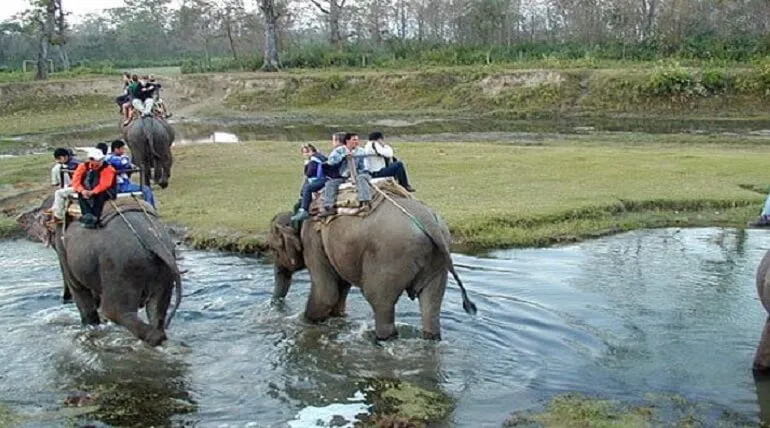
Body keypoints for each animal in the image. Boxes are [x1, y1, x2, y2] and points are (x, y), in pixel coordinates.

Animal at [15, 196, 184, 346]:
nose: (64, 300)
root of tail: (152, 240)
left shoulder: (63, 246)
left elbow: (79, 290)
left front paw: (90, 326)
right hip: (162, 272)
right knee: (157, 310)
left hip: (119, 269)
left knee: (114, 310)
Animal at [268, 191, 474, 342]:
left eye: (274, 249)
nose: (275, 306)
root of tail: (431, 223)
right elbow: (341, 289)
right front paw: (337, 319)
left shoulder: (312, 240)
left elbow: (326, 294)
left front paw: (301, 323)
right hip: (438, 262)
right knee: (431, 306)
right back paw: (431, 338)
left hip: (389, 258)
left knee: (380, 303)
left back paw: (382, 340)